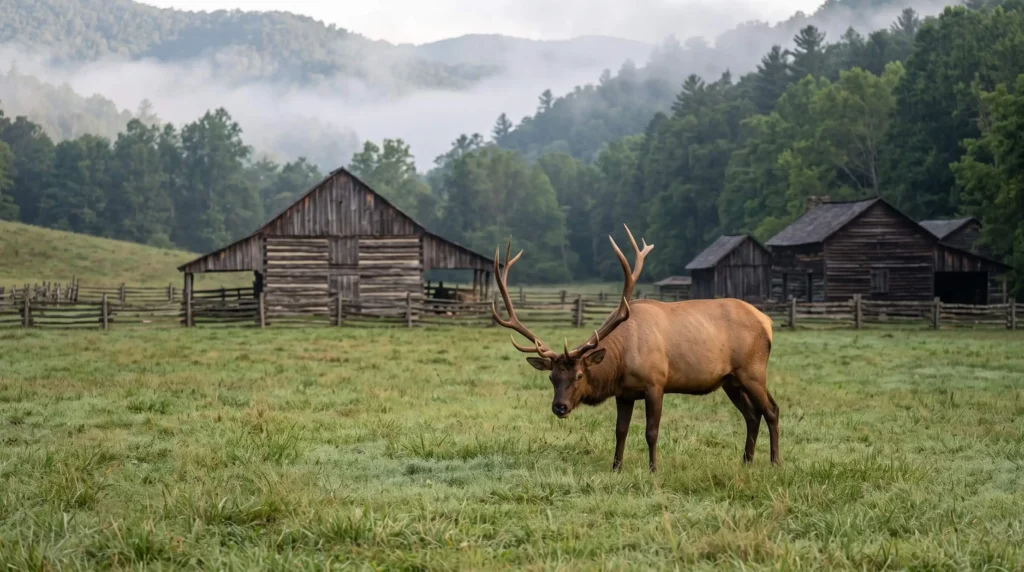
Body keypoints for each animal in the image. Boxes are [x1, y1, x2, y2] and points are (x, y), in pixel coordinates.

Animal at [491, 225, 779, 472]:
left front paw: (653, 469)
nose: (559, 407)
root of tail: (767, 321)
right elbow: (620, 431)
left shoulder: (656, 384)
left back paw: (775, 462)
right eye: (552, 377)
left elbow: (651, 432)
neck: (621, 361)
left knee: (771, 410)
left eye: (580, 375)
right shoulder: (624, 393)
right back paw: (746, 461)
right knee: (752, 416)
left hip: (753, 371)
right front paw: (616, 467)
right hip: (730, 380)